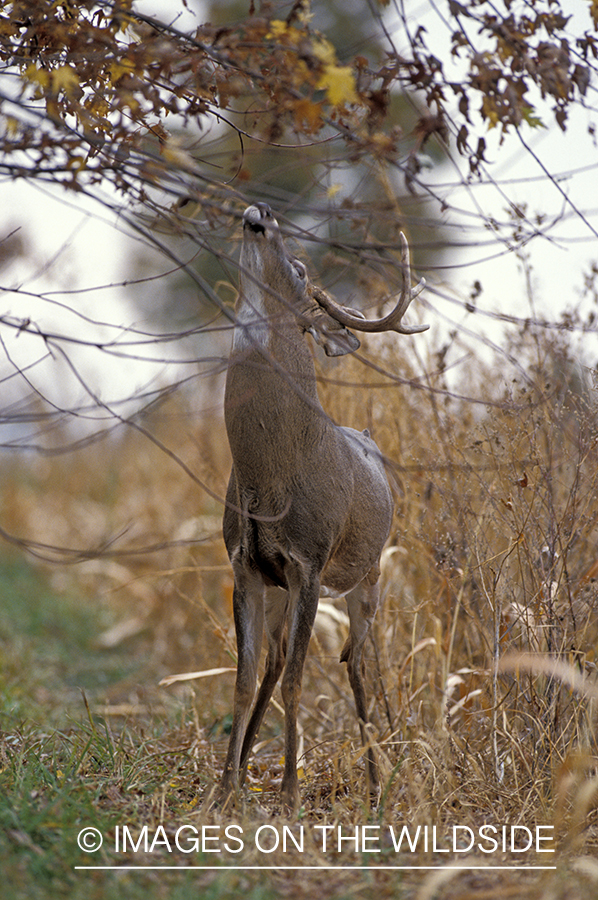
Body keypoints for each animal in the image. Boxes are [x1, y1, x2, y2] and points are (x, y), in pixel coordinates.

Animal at [219, 204, 426, 808]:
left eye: (302, 270)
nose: (262, 211)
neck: (270, 478)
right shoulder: (246, 564)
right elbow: (244, 676)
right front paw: (223, 790)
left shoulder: (309, 562)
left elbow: (298, 681)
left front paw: (289, 793)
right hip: (283, 586)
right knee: (277, 659)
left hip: (369, 573)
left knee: (357, 663)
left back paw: (378, 781)